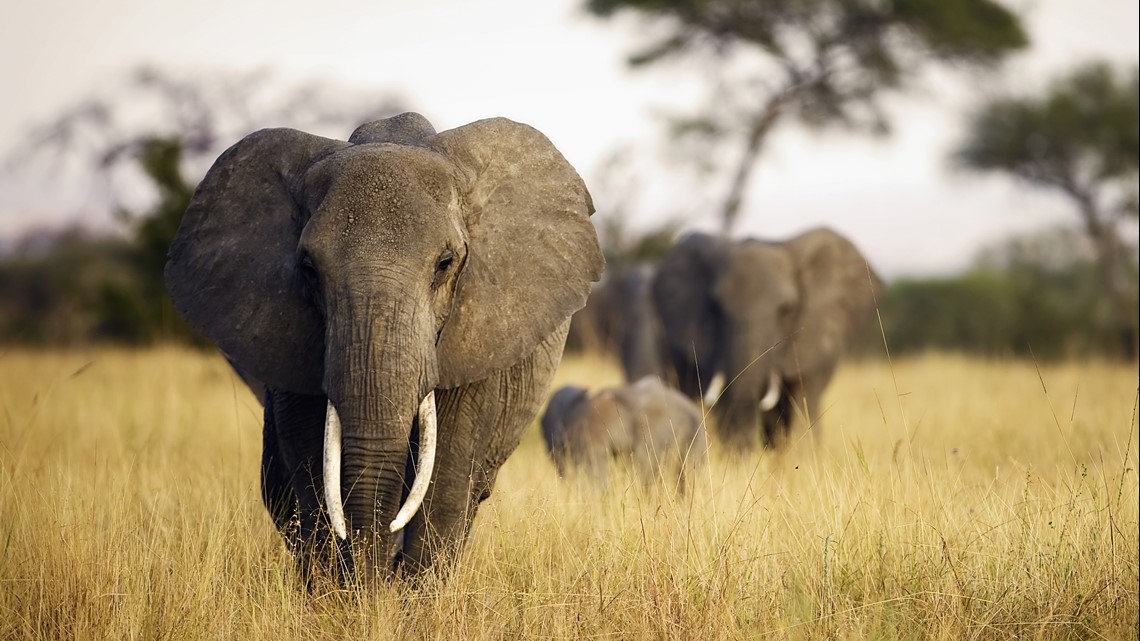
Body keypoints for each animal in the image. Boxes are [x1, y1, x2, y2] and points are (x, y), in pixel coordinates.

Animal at [164, 112, 604, 580]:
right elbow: (311, 463)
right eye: (308, 269)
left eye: (445, 264)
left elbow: (447, 477)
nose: (375, 581)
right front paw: (340, 594)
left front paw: (410, 596)